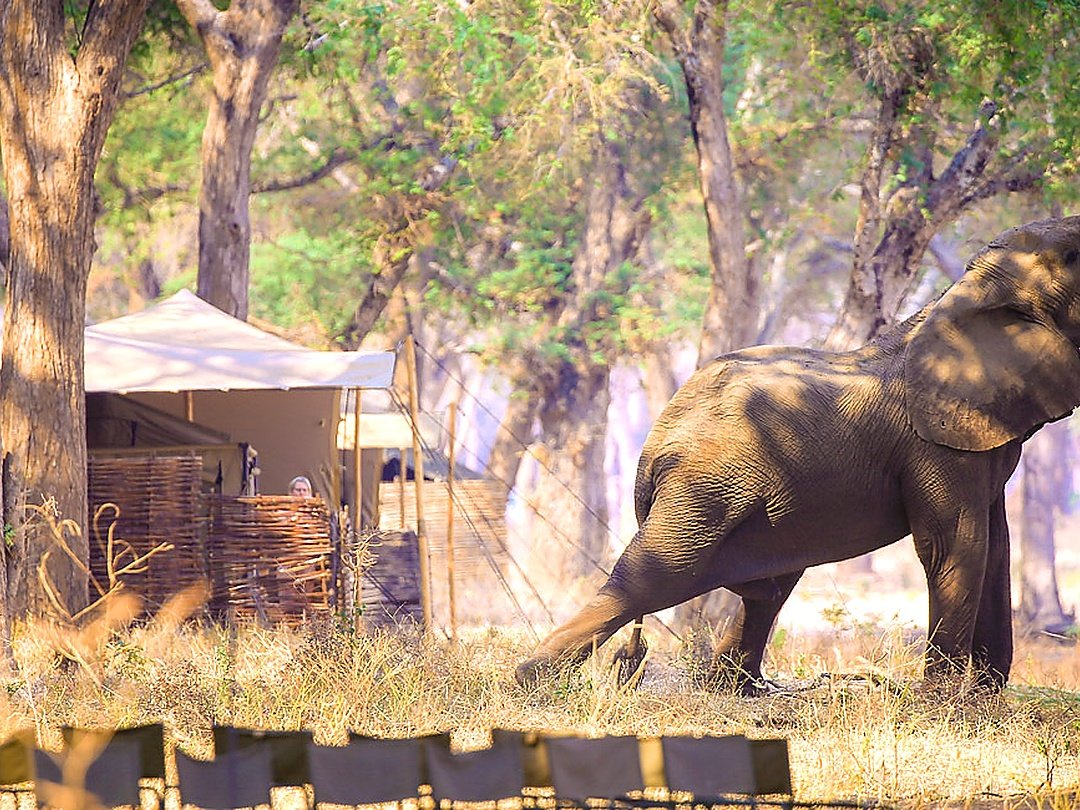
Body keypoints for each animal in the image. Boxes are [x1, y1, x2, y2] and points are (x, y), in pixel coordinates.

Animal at [516, 216, 1080, 693]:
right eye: (1075, 255)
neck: (967, 287)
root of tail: (654, 443)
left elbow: (996, 545)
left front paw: (985, 699)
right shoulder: (933, 444)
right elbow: (955, 546)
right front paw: (944, 706)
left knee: (765, 587)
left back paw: (733, 689)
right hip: (706, 483)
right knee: (659, 573)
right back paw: (532, 681)